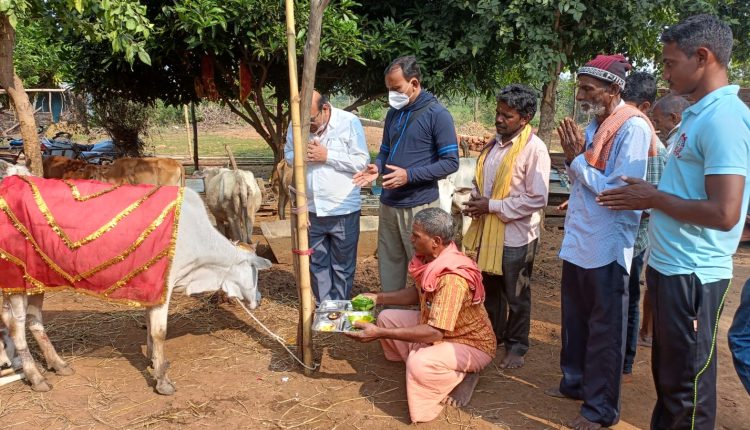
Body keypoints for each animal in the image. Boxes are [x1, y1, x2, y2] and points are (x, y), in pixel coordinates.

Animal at [0, 169, 272, 395]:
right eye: (254, 271)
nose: (258, 299)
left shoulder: (152, 289)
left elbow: (150, 327)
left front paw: (153, 360)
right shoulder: (162, 287)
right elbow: (160, 332)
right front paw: (162, 380)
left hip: (36, 280)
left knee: (34, 321)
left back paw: (58, 364)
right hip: (16, 281)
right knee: (16, 328)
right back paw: (37, 378)